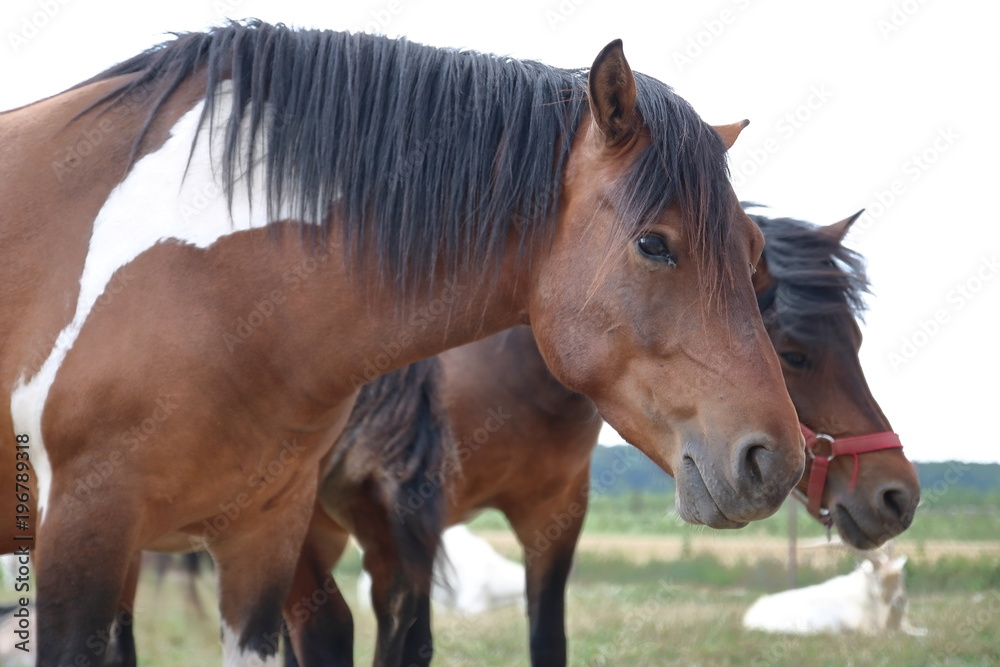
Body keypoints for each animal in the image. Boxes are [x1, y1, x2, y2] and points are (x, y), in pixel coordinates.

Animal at [0, 20, 804, 665]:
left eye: (754, 250)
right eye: (654, 244)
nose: (775, 460)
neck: (210, 278)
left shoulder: (263, 543)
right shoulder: (83, 531)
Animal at [280, 205, 920, 666]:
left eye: (855, 344)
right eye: (795, 354)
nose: (898, 494)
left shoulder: (554, 519)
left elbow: (546, 641)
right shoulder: (410, 527)